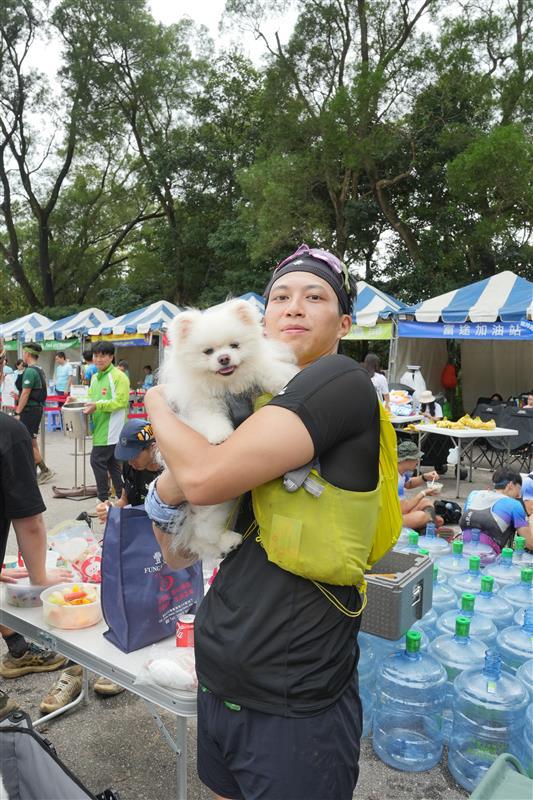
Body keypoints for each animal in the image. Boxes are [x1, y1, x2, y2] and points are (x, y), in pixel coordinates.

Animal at [158, 296, 300, 560]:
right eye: (208, 352)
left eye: (234, 346)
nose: (224, 358)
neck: (228, 385)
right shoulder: (202, 404)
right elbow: (212, 419)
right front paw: (221, 435)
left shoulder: (257, 372)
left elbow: (270, 373)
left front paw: (284, 382)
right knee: (203, 532)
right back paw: (228, 541)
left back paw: (228, 543)